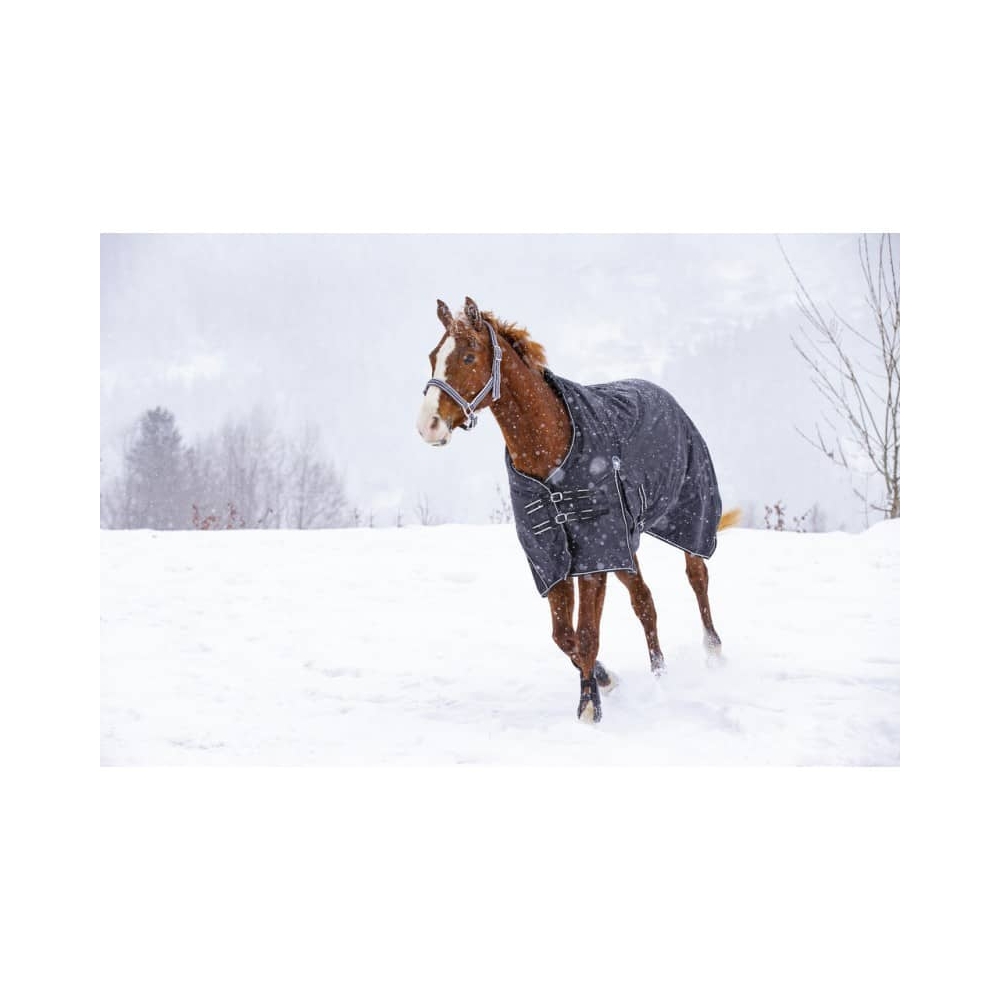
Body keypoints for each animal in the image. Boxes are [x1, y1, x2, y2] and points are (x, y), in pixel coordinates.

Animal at [416, 296, 740, 724]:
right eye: (433, 357)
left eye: (468, 356)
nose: (428, 426)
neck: (550, 448)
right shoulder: (552, 553)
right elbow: (563, 635)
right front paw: (604, 679)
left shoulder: (594, 551)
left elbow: (586, 633)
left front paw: (589, 705)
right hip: (626, 547)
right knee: (645, 603)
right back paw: (659, 673)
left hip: (687, 516)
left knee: (697, 576)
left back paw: (713, 653)